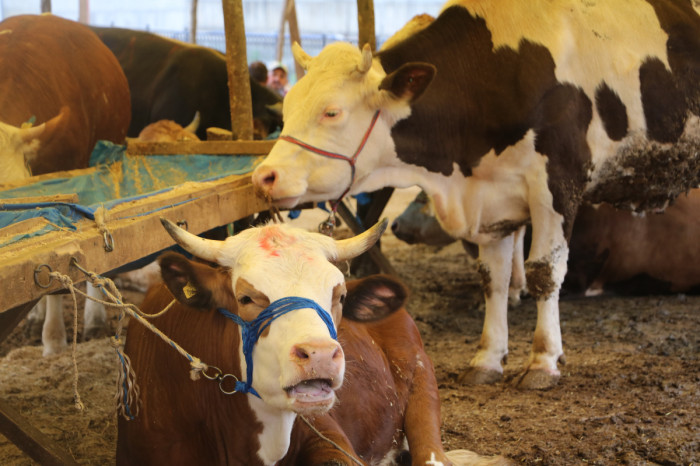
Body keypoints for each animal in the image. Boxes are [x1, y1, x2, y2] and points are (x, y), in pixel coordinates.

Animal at [253, 0, 700, 390]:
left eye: (332, 111)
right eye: (287, 107)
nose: (264, 176)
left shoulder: (558, 183)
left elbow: (544, 271)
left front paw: (543, 362)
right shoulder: (492, 201)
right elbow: (493, 279)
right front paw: (488, 359)